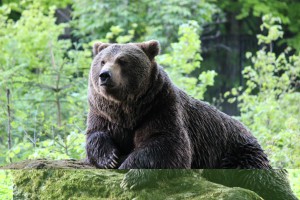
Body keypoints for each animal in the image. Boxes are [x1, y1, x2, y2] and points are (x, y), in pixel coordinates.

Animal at [86, 39, 298, 199]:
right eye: (102, 61)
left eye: (122, 60)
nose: (104, 75)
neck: (130, 109)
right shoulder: (105, 113)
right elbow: (96, 134)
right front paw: (109, 158)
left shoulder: (160, 109)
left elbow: (168, 145)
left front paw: (129, 173)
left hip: (237, 151)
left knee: (261, 177)